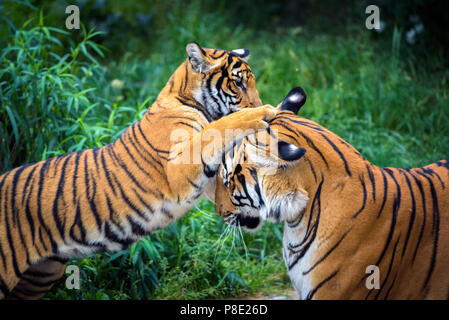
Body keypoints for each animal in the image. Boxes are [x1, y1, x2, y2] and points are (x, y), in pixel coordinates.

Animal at [0, 43, 276, 300]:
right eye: (238, 84)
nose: (259, 103)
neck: (186, 97)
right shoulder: (179, 170)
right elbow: (218, 129)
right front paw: (262, 112)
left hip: (41, 274)